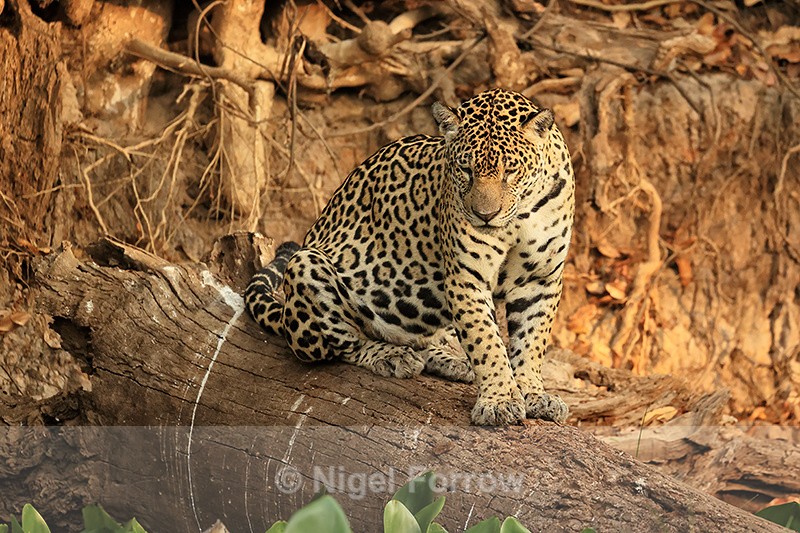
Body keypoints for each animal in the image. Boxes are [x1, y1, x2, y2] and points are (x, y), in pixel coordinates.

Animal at [245, 88, 575, 426]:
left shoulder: (540, 279)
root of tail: (285, 314)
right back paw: (391, 356)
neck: (520, 217)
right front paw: (500, 400)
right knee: (345, 345)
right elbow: (486, 341)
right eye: (465, 170)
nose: (485, 215)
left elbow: (531, 341)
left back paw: (451, 360)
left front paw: (533, 393)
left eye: (511, 171)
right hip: (305, 266)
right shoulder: (466, 279)